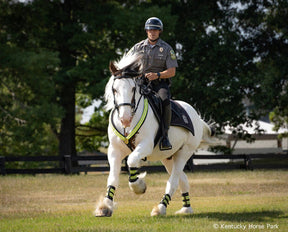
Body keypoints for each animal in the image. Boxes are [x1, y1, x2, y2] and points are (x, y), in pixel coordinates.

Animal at [95, 53, 215, 218]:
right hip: (168, 157)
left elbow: (131, 161)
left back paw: (160, 208)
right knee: (183, 180)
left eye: (133, 88)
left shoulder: (145, 145)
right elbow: (112, 178)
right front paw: (105, 207)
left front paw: (139, 186)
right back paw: (186, 209)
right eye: (114, 89)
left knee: (174, 181)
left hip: (184, 153)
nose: (125, 119)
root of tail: (195, 115)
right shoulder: (114, 150)